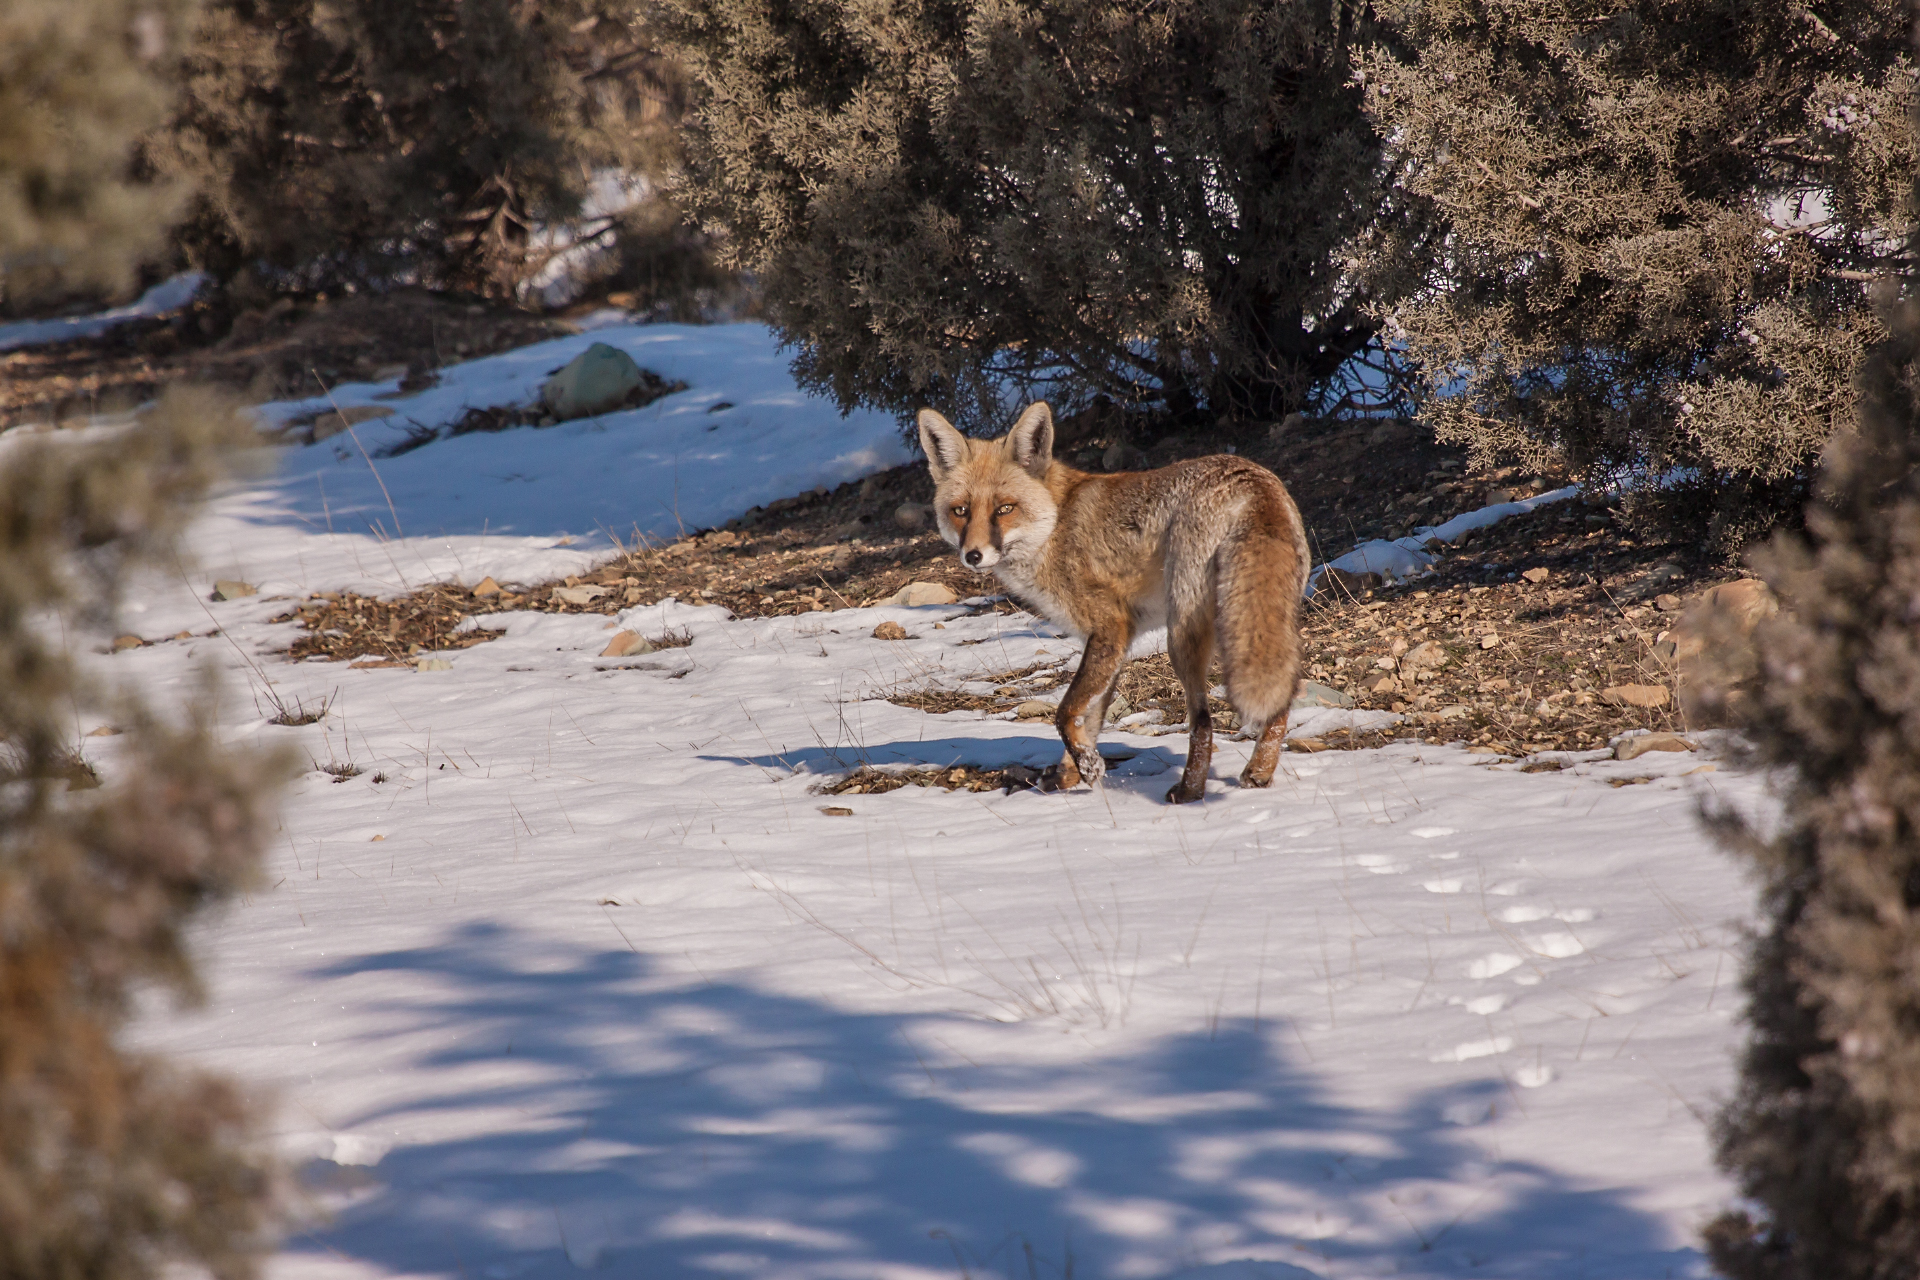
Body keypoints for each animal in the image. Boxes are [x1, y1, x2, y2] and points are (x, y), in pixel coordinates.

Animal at [918, 401, 1309, 804]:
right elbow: (1089, 719)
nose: (973, 556)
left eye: (1004, 509)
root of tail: (1251, 479)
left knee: (1202, 721)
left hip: (1181, 637)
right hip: (1267, 623)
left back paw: (1189, 790)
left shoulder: (1110, 626)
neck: (1054, 527)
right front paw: (1071, 774)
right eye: (960, 511)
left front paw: (1088, 767)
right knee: (1284, 693)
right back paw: (1260, 770)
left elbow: (1064, 712)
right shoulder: (1116, 642)